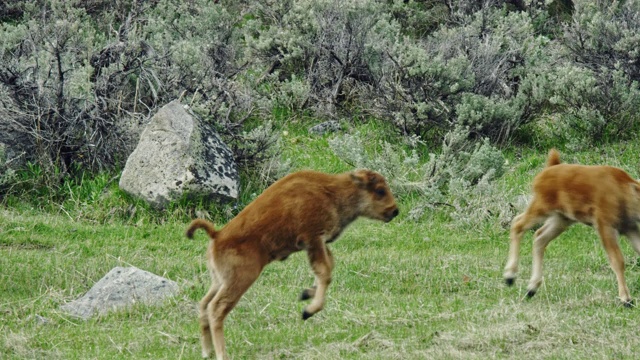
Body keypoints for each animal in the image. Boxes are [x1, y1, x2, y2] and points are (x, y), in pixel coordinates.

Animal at [185, 169, 398, 360]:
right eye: (380, 190)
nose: (395, 211)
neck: (332, 191)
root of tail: (217, 235)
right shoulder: (313, 240)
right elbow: (325, 272)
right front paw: (308, 311)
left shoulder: (319, 244)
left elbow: (328, 267)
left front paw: (306, 294)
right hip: (240, 280)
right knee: (216, 308)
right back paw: (222, 354)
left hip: (218, 280)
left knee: (204, 304)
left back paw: (206, 352)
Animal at [502, 149, 640, 306]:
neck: (624, 190)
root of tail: (550, 168)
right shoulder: (605, 227)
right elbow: (617, 260)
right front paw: (626, 299)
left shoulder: (630, 228)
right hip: (541, 209)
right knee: (518, 224)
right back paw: (510, 277)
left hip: (561, 219)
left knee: (539, 237)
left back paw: (531, 289)